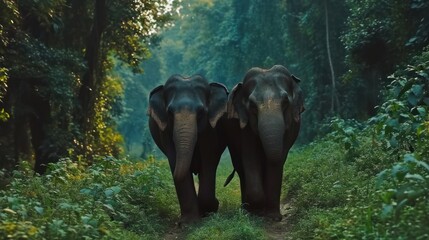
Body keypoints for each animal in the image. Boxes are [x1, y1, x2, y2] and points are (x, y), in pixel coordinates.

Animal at [147, 74, 227, 224]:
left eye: (201, 111)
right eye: (170, 112)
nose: (218, 202)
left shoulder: (210, 129)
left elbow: (209, 159)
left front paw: (211, 208)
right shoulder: (165, 130)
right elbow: (173, 158)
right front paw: (189, 223)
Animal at [224, 64, 304, 221]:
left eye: (286, 102)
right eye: (252, 105)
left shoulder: (290, 128)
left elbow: (276, 160)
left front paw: (273, 217)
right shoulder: (245, 127)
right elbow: (251, 157)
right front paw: (258, 211)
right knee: (241, 168)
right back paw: (247, 210)